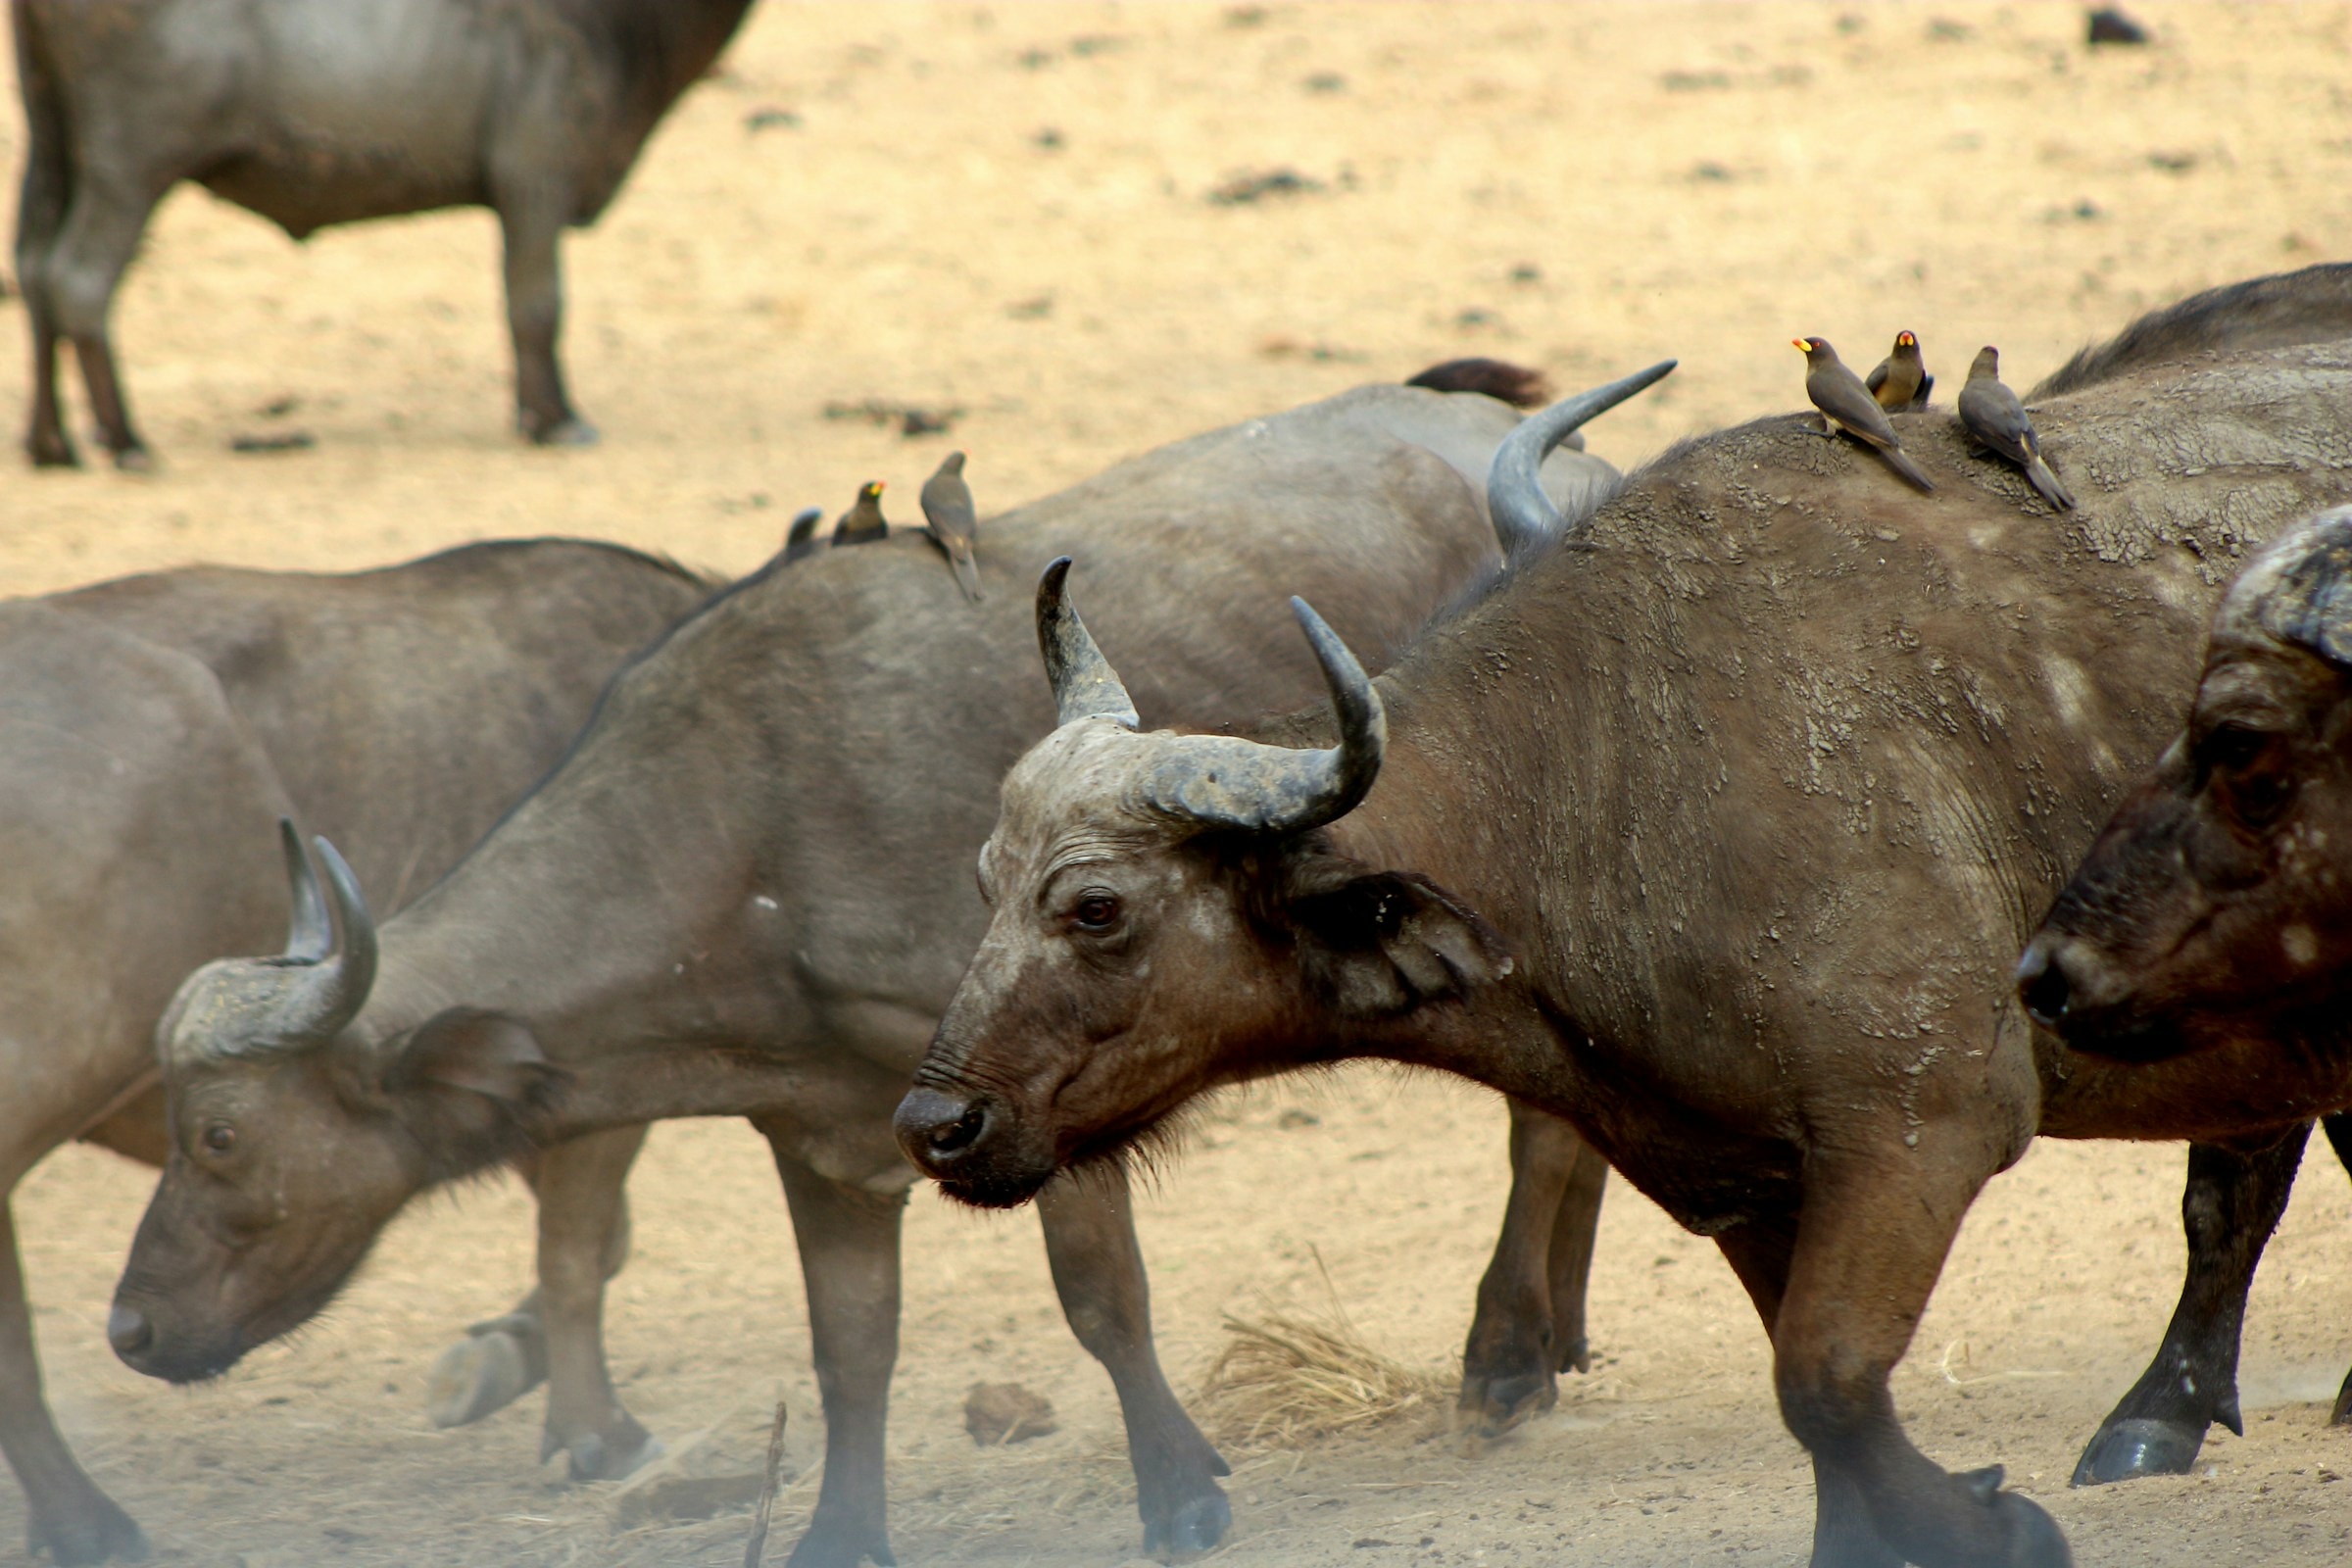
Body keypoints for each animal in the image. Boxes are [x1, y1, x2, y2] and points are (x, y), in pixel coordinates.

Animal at [2, 540, 706, 1560]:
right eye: (217, 1136)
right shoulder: (592, 1073)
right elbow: (580, 1250)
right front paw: (595, 1433)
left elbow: (599, 1245)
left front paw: (493, 1362)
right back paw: (84, 1517)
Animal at [9, 0, 757, 465]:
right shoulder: (535, 174)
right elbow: (537, 305)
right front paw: (554, 420)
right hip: (130, 167)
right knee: (78, 281)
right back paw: (124, 438)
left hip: (51, 144)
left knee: (35, 273)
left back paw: (52, 444)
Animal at [106, 371, 1655, 1568]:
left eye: (220, 1134)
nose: (129, 1326)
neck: (751, 816)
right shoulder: (825, 1138)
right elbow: (850, 1350)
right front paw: (839, 1530)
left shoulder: (1042, 1102)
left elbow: (1102, 1303)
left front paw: (1180, 1491)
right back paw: (1556, 1334)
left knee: (1542, 1120)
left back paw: (1504, 1357)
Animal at [889, 272, 2352, 1568]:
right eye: (985, 880)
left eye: (1096, 906)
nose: (934, 1125)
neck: (1602, 774)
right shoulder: (1739, 1171)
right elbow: (1820, 1412)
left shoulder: (1923, 1125)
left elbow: (1824, 1382)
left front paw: (1996, 1524)